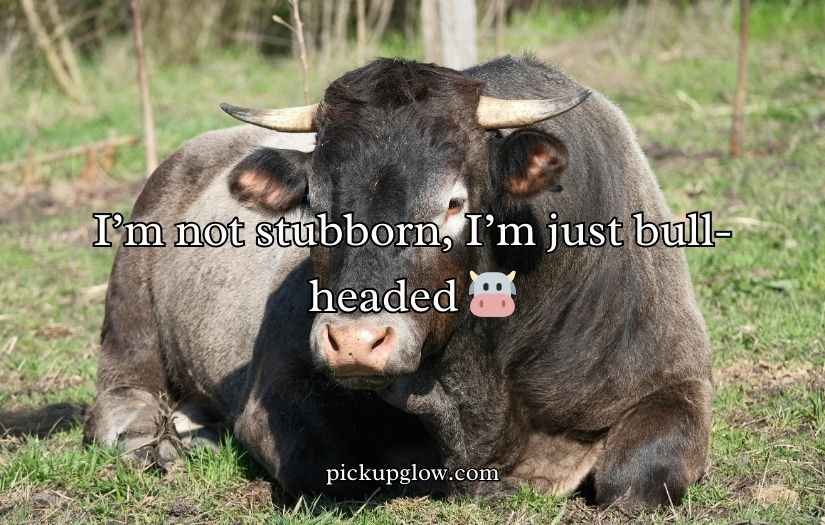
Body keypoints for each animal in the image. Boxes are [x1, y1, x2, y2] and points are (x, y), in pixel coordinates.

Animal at [84, 56, 712, 508]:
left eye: (455, 202)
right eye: (316, 202)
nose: (355, 342)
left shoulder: (675, 379)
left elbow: (638, 477)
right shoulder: (280, 398)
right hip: (128, 312)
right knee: (120, 394)